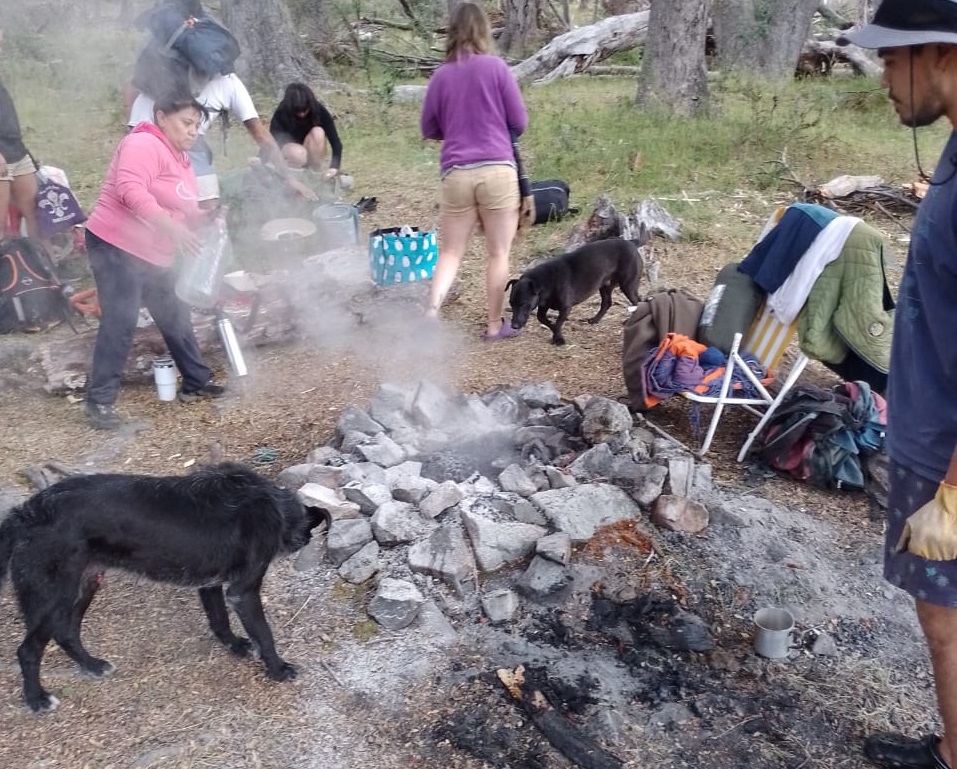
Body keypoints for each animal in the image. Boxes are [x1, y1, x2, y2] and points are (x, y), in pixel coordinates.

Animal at [0, 460, 328, 712]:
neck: (273, 504)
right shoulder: (243, 591)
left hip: (84, 585)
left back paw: (91, 665)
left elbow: (219, 620)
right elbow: (264, 634)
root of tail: (25, 513)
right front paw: (278, 669)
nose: (305, 543)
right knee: (28, 650)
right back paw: (37, 699)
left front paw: (234, 646)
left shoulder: (209, 584)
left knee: (66, 632)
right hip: (54, 596)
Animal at [508, 234, 644, 342]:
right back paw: (595, 320)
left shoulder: (566, 308)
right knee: (607, 303)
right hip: (605, 285)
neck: (547, 281)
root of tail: (632, 242)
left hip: (627, 285)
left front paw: (558, 338)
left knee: (637, 301)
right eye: (511, 303)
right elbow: (544, 320)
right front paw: (554, 332)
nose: (514, 326)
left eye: (523, 304)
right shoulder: (543, 306)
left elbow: (558, 323)